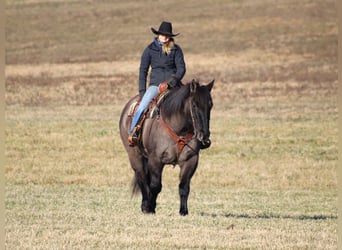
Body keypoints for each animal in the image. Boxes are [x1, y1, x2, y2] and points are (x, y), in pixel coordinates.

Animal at [119, 79, 212, 216]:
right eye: (195, 105)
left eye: (210, 105)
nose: (204, 137)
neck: (179, 129)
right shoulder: (156, 160)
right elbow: (155, 185)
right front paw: (150, 208)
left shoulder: (191, 160)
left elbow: (184, 186)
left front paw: (183, 211)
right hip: (135, 155)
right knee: (142, 178)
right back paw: (145, 205)